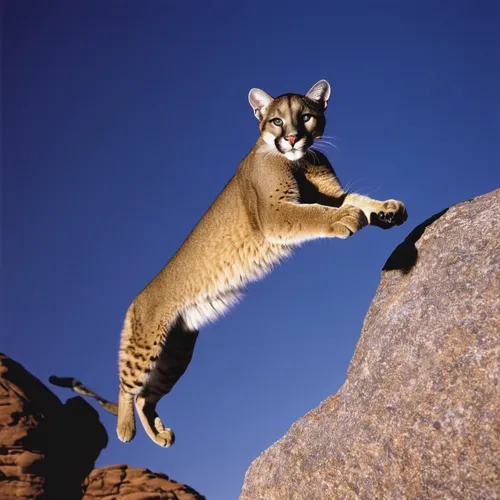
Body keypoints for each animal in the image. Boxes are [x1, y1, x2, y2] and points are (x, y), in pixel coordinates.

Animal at [50, 80, 408, 448]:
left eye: (306, 116)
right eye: (277, 121)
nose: (293, 138)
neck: (300, 161)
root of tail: (137, 299)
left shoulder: (328, 193)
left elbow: (356, 198)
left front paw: (386, 209)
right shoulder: (275, 213)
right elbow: (315, 214)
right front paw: (347, 218)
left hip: (176, 354)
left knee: (145, 397)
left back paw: (160, 434)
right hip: (146, 343)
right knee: (127, 387)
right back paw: (125, 429)